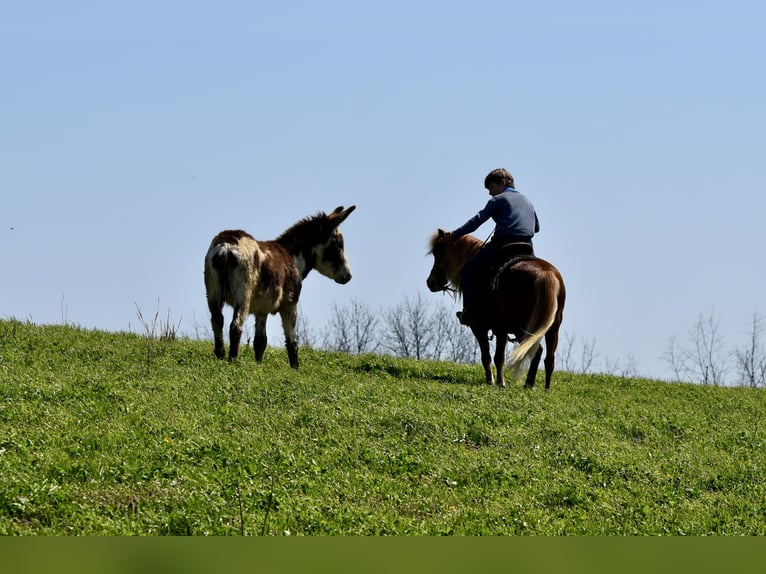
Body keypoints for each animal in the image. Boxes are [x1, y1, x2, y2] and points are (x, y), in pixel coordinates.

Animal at [204, 205, 356, 369]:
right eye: (338, 244)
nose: (348, 276)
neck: (292, 255)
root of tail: (226, 246)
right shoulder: (290, 303)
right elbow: (292, 340)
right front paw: (295, 368)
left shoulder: (262, 309)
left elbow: (260, 341)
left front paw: (258, 366)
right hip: (243, 292)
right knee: (236, 326)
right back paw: (233, 360)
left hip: (212, 291)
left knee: (217, 320)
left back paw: (220, 356)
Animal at [426, 229, 565, 389]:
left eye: (438, 254)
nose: (430, 282)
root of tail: (545, 273)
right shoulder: (501, 330)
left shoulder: (481, 327)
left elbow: (489, 356)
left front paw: (494, 381)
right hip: (552, 326)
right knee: (548, 357)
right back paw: (539, 387)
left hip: (521, 327)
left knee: (536, 351)